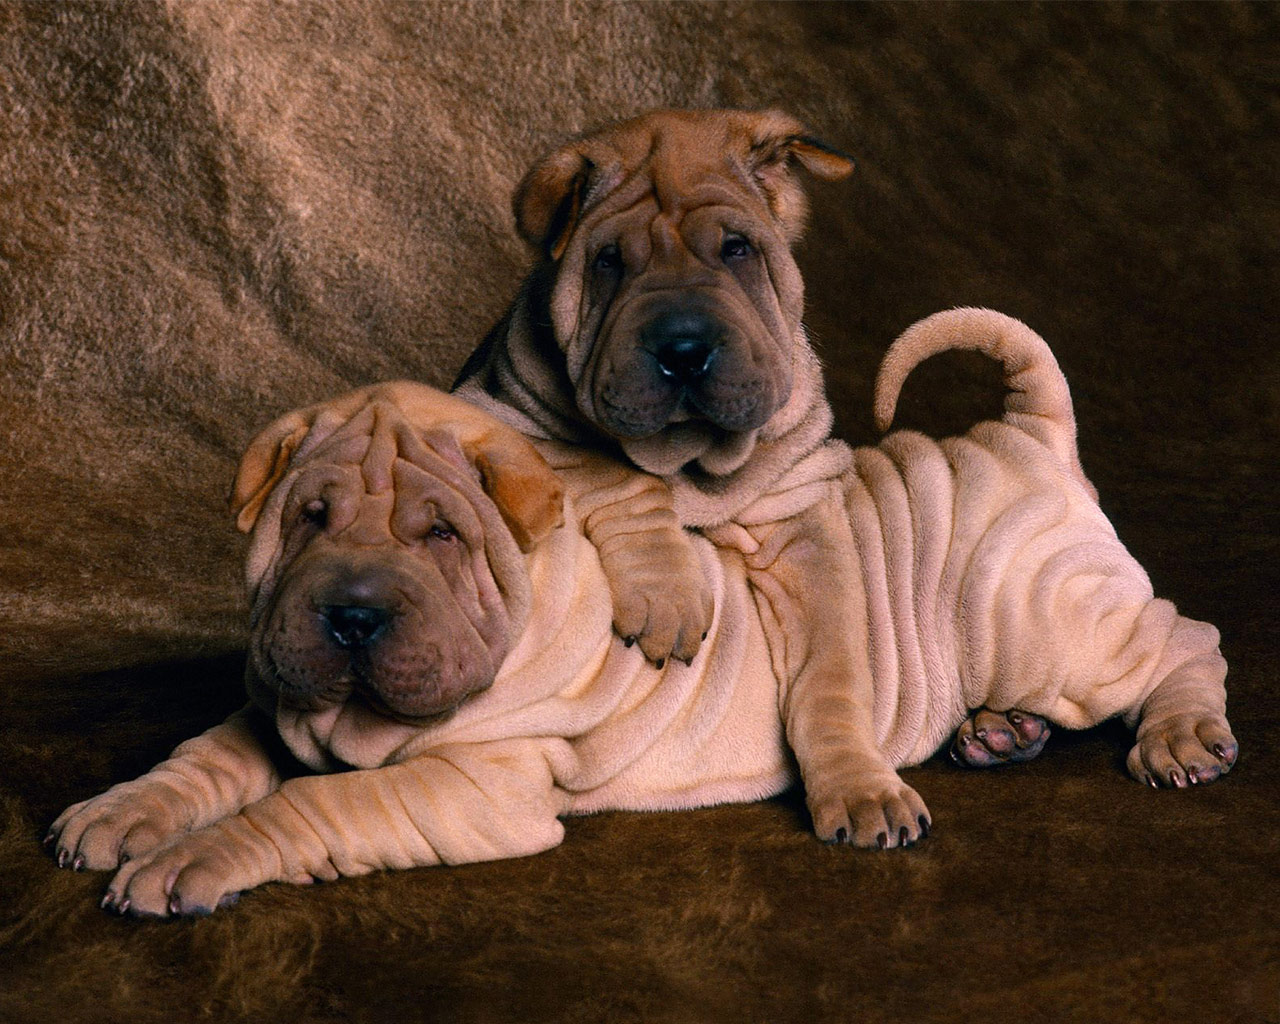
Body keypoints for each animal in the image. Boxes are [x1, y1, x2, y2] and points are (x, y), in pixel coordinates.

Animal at [52, 308, 1239, 916]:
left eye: (439, 537)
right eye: (307, 518)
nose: (347, 616)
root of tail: (1024, 434)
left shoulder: (476, 785)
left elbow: (311, 807)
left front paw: (189, 865)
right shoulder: (271, 705)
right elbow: (202, 758)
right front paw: (121, 814)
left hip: (1046, 621)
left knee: (1185, 637)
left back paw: (1180, 736)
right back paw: (997, 733)